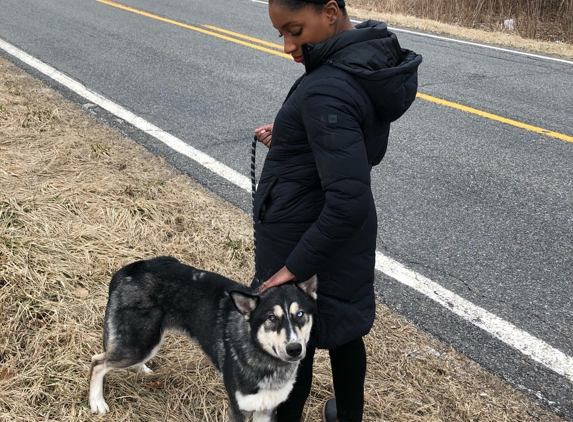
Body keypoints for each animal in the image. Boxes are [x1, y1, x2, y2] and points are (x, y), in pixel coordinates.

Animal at [88, 256, 318, 420]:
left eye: (300, 314)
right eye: (271, 318)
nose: (295, 349)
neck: (266, 360)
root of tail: (128, 270)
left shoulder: (267, 409)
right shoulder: (238, 409)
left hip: (147, 341)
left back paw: (141, 370)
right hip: (139, 344)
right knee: (98, 362)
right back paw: (96, 401)